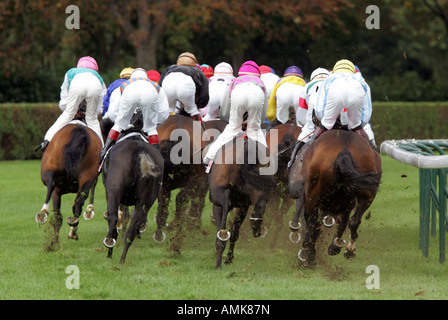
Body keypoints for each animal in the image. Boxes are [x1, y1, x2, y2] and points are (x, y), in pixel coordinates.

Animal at [102, 131, 164, 264]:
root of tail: (138, 149)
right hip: (141, 201)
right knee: (132, 226)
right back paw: (122, 257)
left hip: (115, 193)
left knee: (114, 218)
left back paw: (110, 246)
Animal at [153, 114, 226, 252]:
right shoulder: (165, 185)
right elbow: (163, 205)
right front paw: (159, 233)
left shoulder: (196, 181)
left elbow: (181, 198)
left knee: (197, 200)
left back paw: (193, 222)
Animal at [209, 136, 276, 268]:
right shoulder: (242, 205)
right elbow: (234, 232)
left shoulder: (220, 204)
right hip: (259, 193)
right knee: (258, 209)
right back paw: (256, 227)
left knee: (226, 203)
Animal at [288, 129, 382, 266]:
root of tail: (344, 151)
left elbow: (311, 222)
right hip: (366, 193)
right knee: (354, 221)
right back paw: (346, 248)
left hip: (313, 196)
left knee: (314, 224)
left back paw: (312, 254)